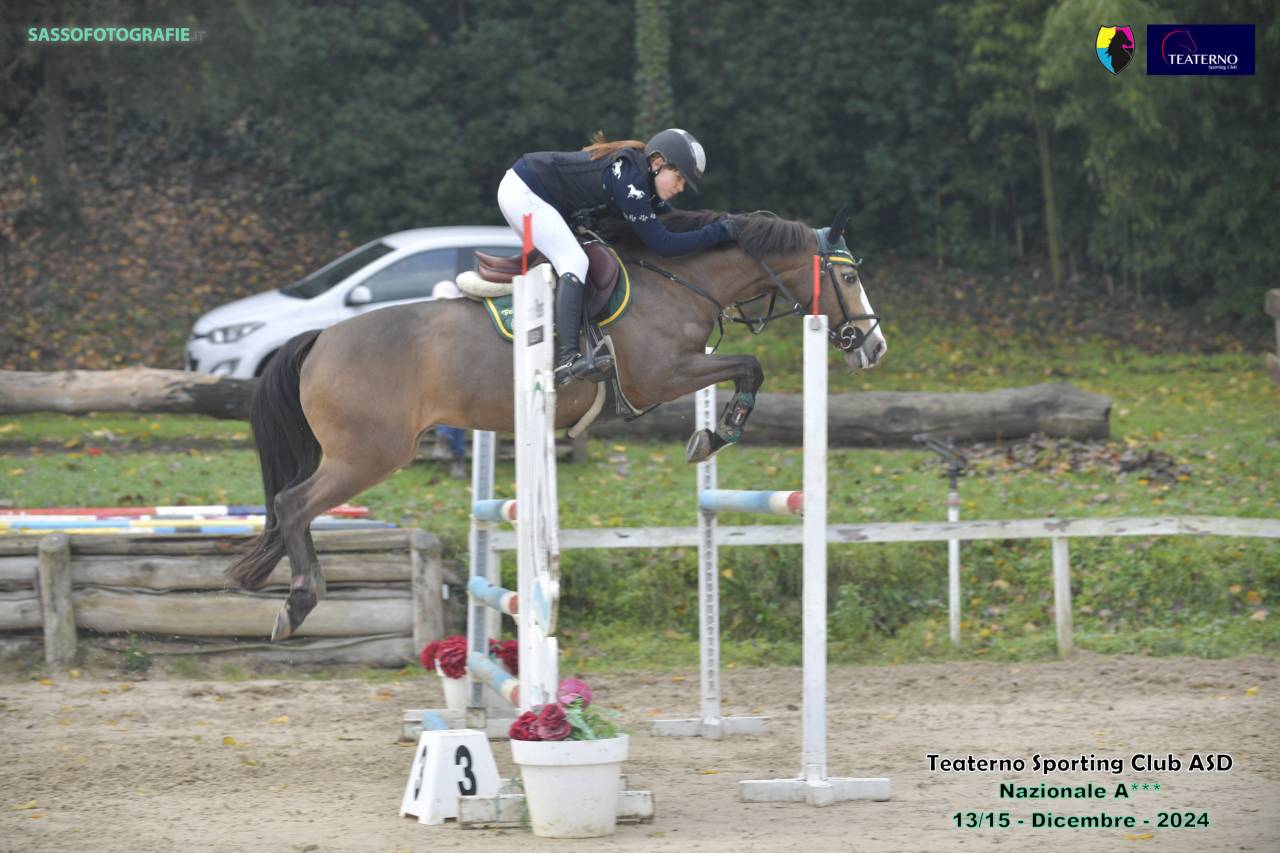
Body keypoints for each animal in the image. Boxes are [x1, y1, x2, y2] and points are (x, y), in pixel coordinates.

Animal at [226, 207, 888, 640]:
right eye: (849, 277)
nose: (873, 346)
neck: (681, 282)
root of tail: (319, 338)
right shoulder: (661, 377)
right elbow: (749, 365)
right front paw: (715, 434)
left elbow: (746, 367)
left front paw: (712, 433)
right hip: (370, 453)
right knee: (293, 504)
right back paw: (299, 602)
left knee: (295, 508)